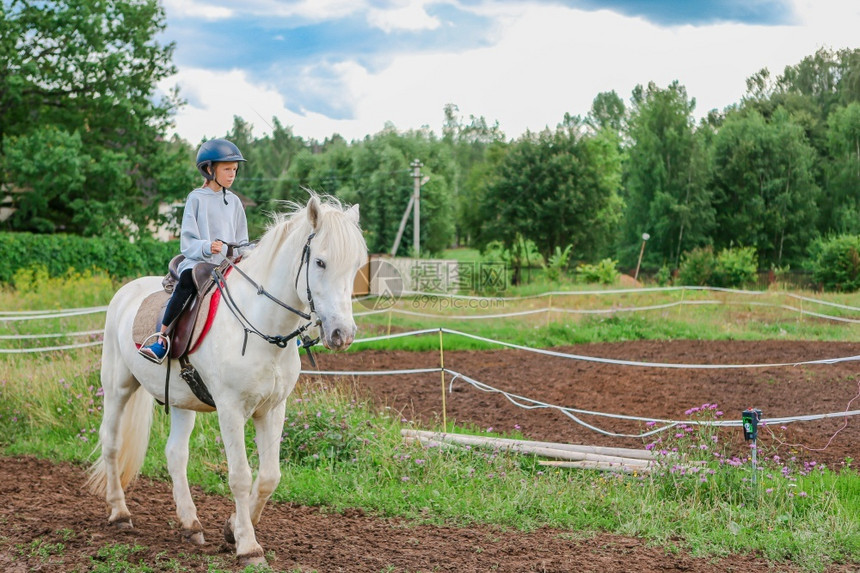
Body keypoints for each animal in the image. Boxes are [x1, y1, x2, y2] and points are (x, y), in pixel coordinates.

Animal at [87, 194, 366, 564]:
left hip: (182, 401)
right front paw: (248, 547)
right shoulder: (231, 409)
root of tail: (127, 291)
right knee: (112, 443)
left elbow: (269, 476)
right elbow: (240, 476)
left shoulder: (272, 409)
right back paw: (120, 513)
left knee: (176, 454)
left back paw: (190, 525)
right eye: (320, 262)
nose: (342, 334)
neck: (262, 328)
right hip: (118, 386)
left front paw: (232, 528)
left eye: (356, 266)